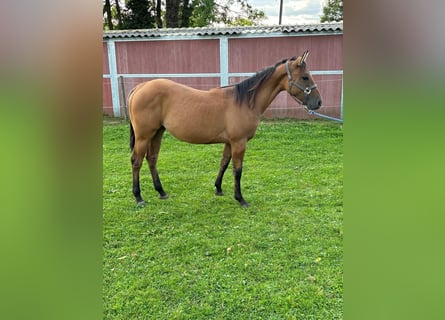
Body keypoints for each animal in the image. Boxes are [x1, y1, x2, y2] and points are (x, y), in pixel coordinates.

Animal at [127, 48, 320, 206]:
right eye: (305, 77)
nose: (318, 102)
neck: (244, 102)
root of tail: (141, 87)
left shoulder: (229, 142)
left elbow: (224, 163)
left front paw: (218, 188)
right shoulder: (239, 142)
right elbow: (237, 170)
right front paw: (240, 198)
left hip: (157, 133)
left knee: (152, 159)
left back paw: (161, 191)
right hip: (144, 136)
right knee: (136, 161)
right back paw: (138, 197)